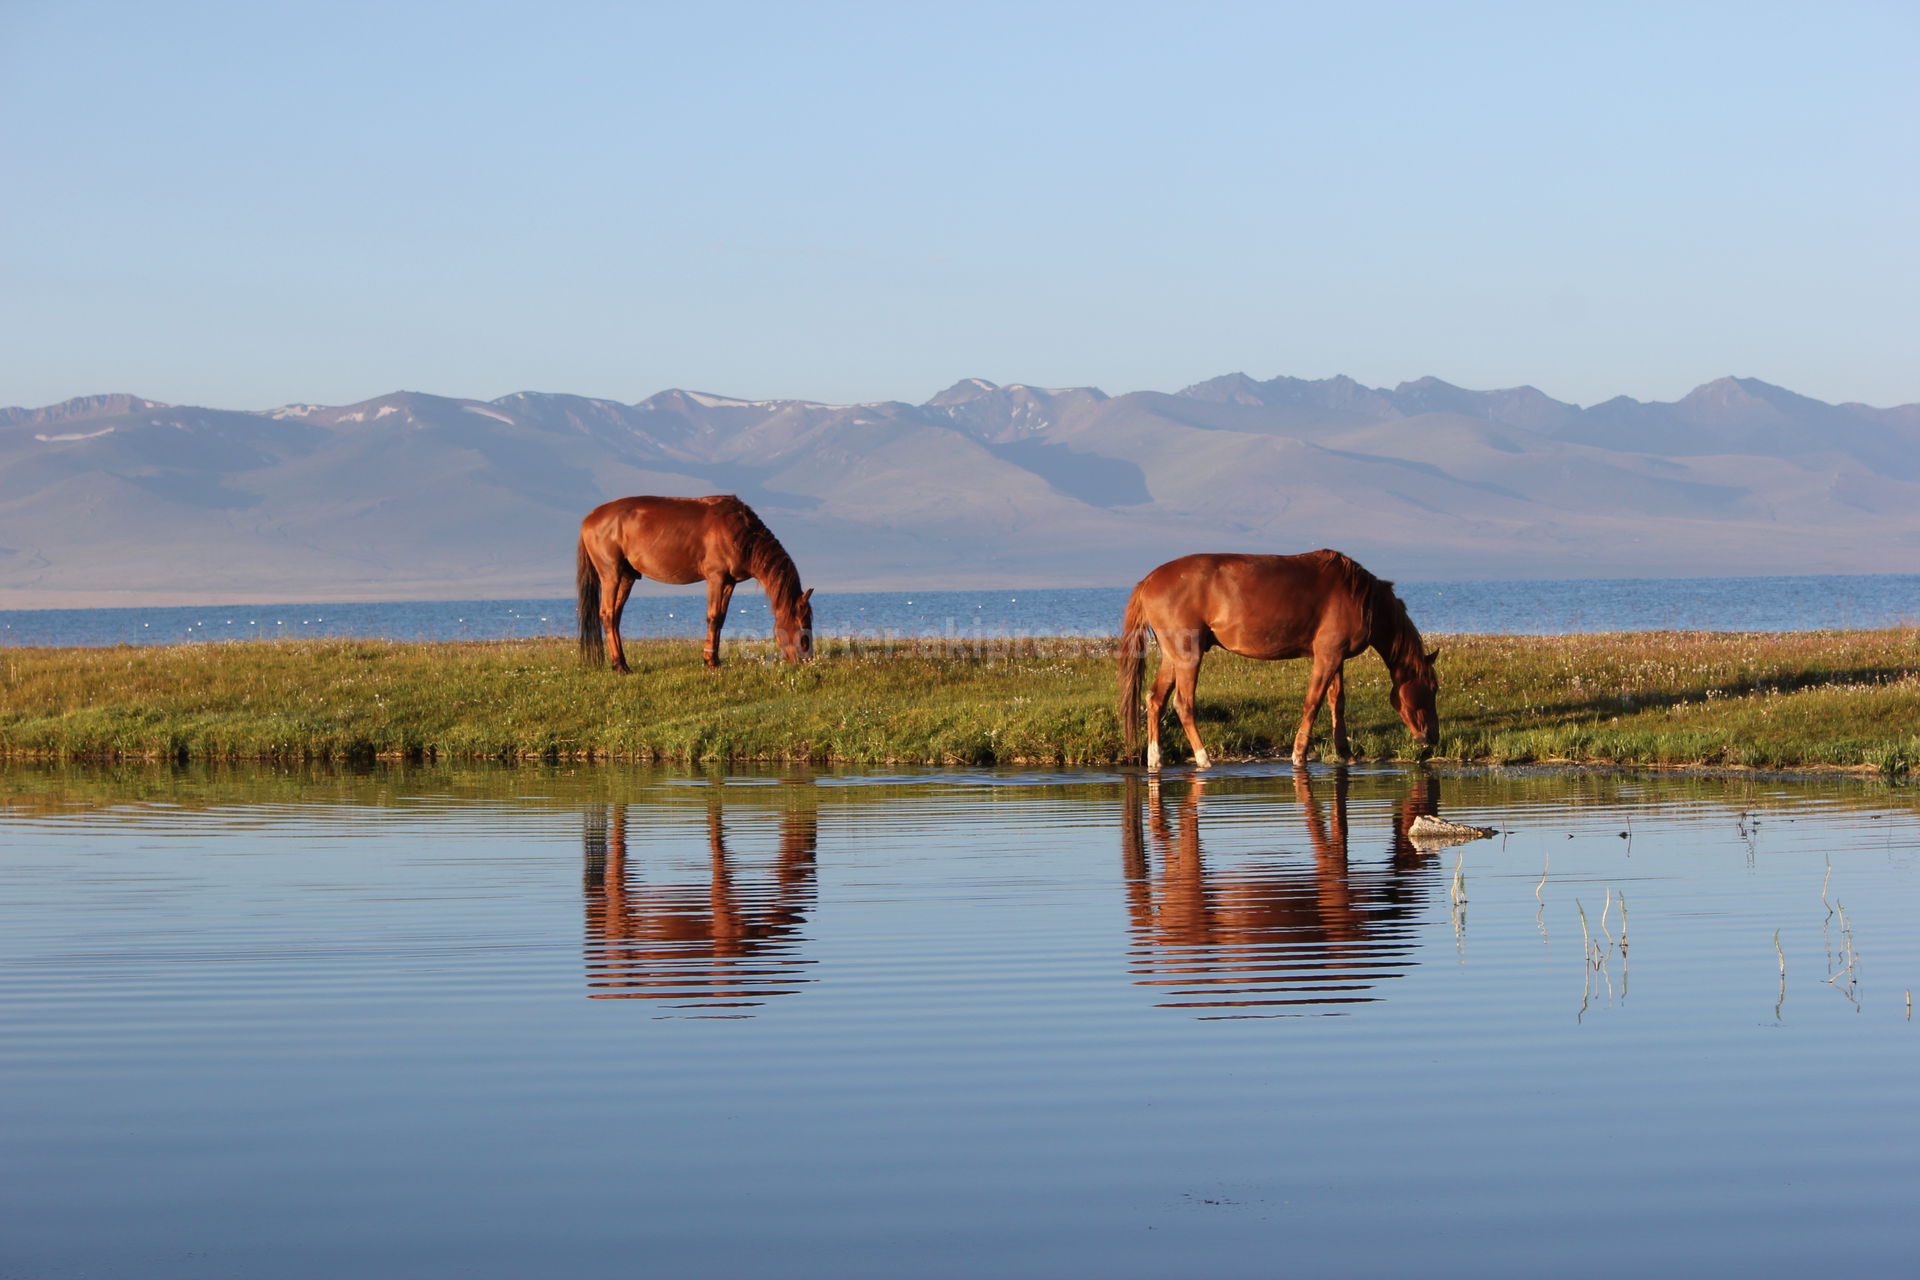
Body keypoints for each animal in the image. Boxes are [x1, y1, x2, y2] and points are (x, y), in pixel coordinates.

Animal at [568, 495, 810, 675]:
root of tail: (589, 519)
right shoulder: (716, 578)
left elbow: (721, 618)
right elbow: (713, 617)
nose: (806, 660)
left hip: (627, 577)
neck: (740, 532)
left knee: (616, 616)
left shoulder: (729, 582)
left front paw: (714, 658)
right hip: (611, 575)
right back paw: (619, 666)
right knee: (608, 615)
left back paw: (622, 663)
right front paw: (711, 661)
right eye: (802, 623)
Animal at [1113, 545, 1443, 767]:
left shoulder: (1336, 658)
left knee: (1155, 699)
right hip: (1188, 654)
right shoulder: (1327, 656)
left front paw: (1346, 754)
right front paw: (1299, 754)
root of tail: (1149, 581)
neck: (1361, 597)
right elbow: (1313, 702)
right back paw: (1203, 758)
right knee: (1183, 705)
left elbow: (1337, 702)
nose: (1432, 738)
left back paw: (1155, 758)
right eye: (1433, 689)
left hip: (1173, 656)